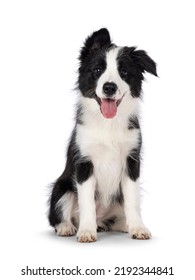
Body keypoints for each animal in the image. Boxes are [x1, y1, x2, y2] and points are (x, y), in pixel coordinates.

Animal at [48, 29, 157, 243]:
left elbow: (132, 200)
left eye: (124, 72)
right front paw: (86, 231)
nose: (109, 87)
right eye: (98, 70)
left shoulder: (132, 161)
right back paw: (67, 227)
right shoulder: (84, 162)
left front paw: (138, 228)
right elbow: (87, 202)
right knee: (58, 214)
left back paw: (123, 225)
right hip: (62, 187)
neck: (109, 124)